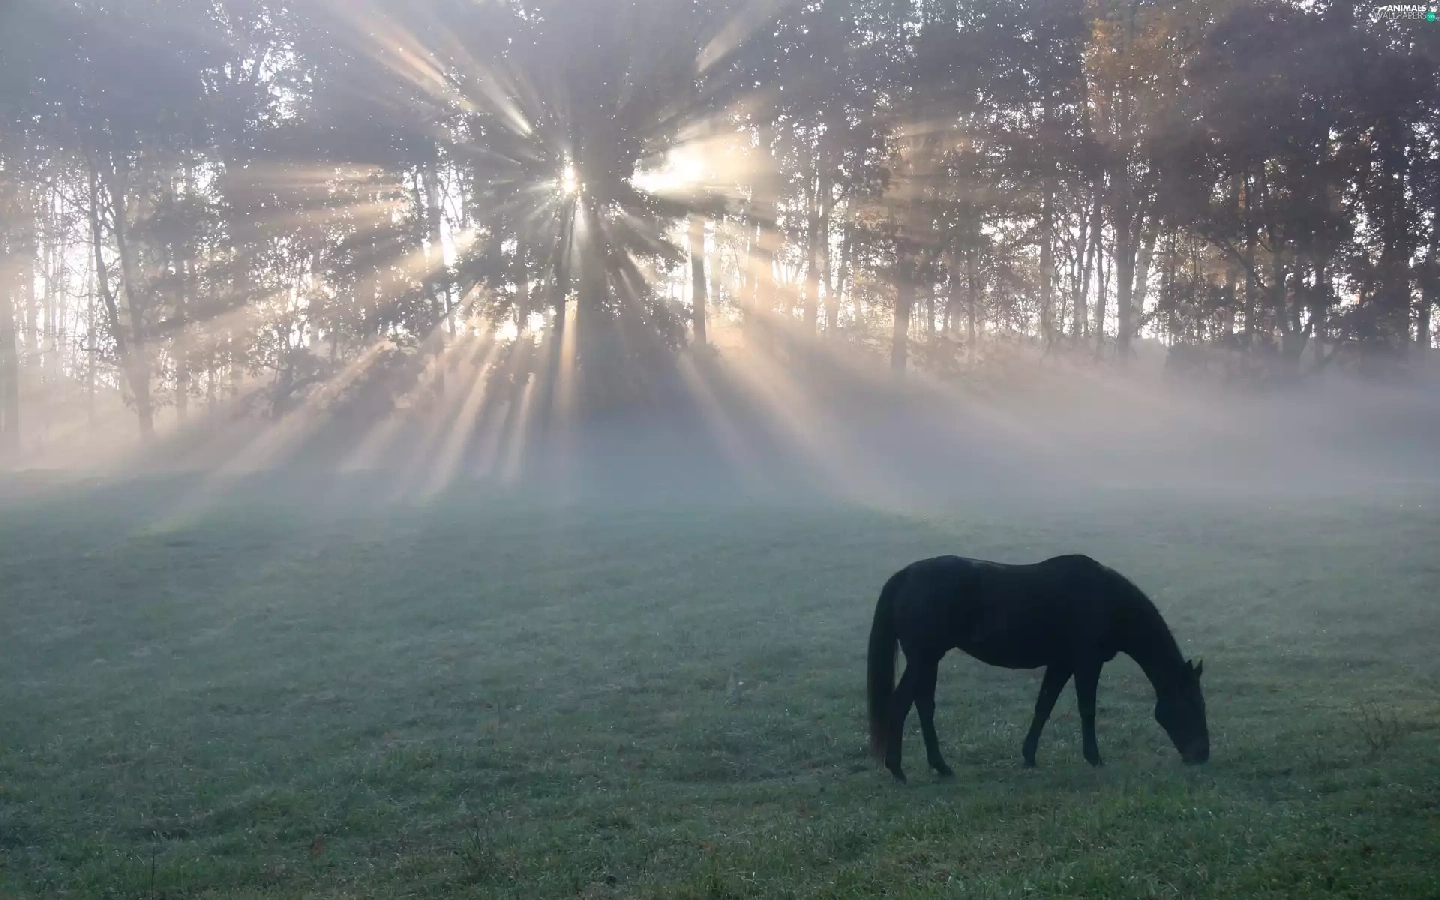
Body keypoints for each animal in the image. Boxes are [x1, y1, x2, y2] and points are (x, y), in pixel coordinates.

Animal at [866, 554, 1209, 784]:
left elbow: (1044, 706)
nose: (1202, 755)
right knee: (900, 704)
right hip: (923, 658)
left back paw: (941, 766)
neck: (1106, 600)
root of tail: (906, 574)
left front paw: (1028, 755)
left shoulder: (1061, 663)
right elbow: (1086, 709)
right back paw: (897, 769)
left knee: (924, 706)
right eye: (1193, 704)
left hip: (928, 660)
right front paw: (1094, 758)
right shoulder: (1087, 662)